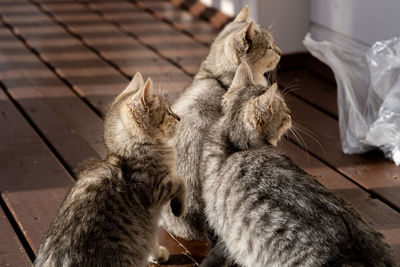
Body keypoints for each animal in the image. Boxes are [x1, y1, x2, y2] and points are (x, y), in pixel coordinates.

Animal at [34, 73, 186, 267]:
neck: (129, 151)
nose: (179, 118)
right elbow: (181, 182)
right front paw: (179, 208)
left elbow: (151, 240)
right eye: (168, 112)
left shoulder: (151, 220)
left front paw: (156, 254)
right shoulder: (157, 190)